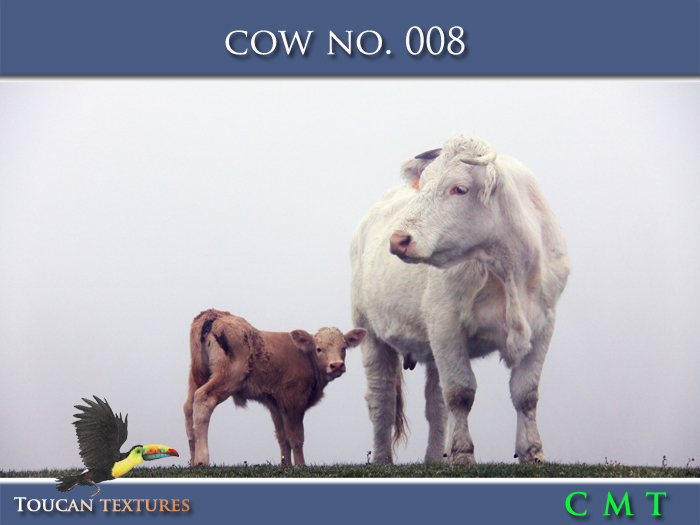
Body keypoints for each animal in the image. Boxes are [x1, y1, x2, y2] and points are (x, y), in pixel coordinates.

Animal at [183, 309, 367, 466]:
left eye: (343, 347)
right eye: (319, 349)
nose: (336, 365)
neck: (305, 358)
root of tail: (214, 314)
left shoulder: (275, 403)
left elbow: (282, 437)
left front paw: (286, 465)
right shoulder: (293, 399)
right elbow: (296, 436)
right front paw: (301, 465)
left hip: (197, 375)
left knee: (188, 408)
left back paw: (192, 459)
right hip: (229, 375)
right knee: (203, 399)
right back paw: (202, 460)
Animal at [351, 134, 570, 464]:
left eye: (459, 188)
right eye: (425, 183)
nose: (398, 239)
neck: (510, 269)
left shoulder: (544, 325)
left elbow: (526, 393)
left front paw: (533, 454)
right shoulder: (446, 325)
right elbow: (460, 393)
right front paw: (464, 455)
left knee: (434, 405)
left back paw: (433, 460)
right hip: (370, 331)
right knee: (382, 400)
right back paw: (382, 460)